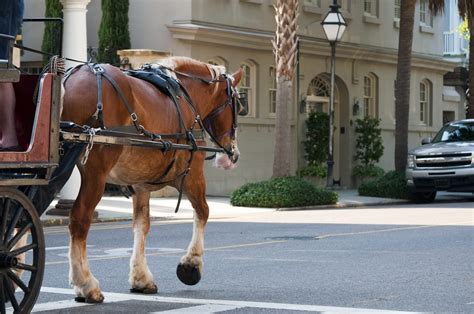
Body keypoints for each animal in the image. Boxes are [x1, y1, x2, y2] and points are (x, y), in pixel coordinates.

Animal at [59, 57, 243, 304]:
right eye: (237, 106)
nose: (232, 154)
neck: (186, 99)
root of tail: (71, 78)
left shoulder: (140, 184)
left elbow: (141, 224)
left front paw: (140, 277)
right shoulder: (191, 174)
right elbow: (203, 212)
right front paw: (191, 264)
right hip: (95, 172)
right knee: (80, 219)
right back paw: (86, 284)